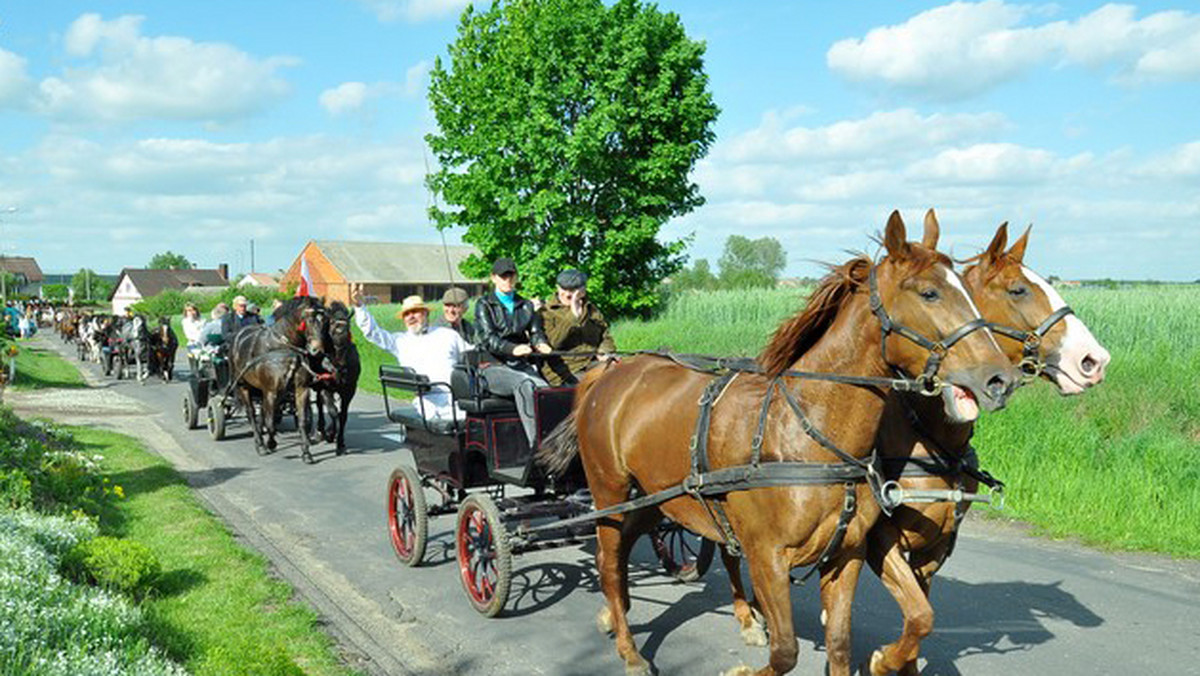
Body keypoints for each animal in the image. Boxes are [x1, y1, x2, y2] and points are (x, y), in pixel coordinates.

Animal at [228, 297, 328, 463]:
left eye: (325, 320)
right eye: (309, 320)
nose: (317, 350)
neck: (283, 347)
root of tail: (238, 337)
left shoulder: (301, 389)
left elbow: (301, 420)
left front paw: (306, 452)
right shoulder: (271, 391)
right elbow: (270, 423)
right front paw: (270, 443)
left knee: (262, 413)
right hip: (244, 385)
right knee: (252, 414)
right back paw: (260, 443)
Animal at [314, 301, 360, 453]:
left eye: (348, 324)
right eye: (332, 323)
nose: (341, 334)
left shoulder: (349, 390)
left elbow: (343, 415)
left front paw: (340, 442)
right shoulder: (324, 387)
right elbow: (333, 412)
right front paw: (330, 433)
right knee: (320, 405)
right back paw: (321, 429)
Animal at [544, 212, 1022, 676]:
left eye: (968, 291)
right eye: (928, 293)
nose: (999, 378)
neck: (803, 433)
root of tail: (610, 372)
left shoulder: (847, 555)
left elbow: (843, 644)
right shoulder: (767, 558)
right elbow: (786, 651)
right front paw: (743, 666)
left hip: (657, 497)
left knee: (626, 548)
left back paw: (616, 613)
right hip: (610, 490)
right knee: (609, 562)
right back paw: (629, 650)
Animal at [859, 219, 1108, 672]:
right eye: (1018, 290)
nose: (1094, 361)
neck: (927, 435)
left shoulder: (936, 547)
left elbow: (920, 620)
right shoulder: (880, 539)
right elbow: (918, 616)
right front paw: (884, 661)